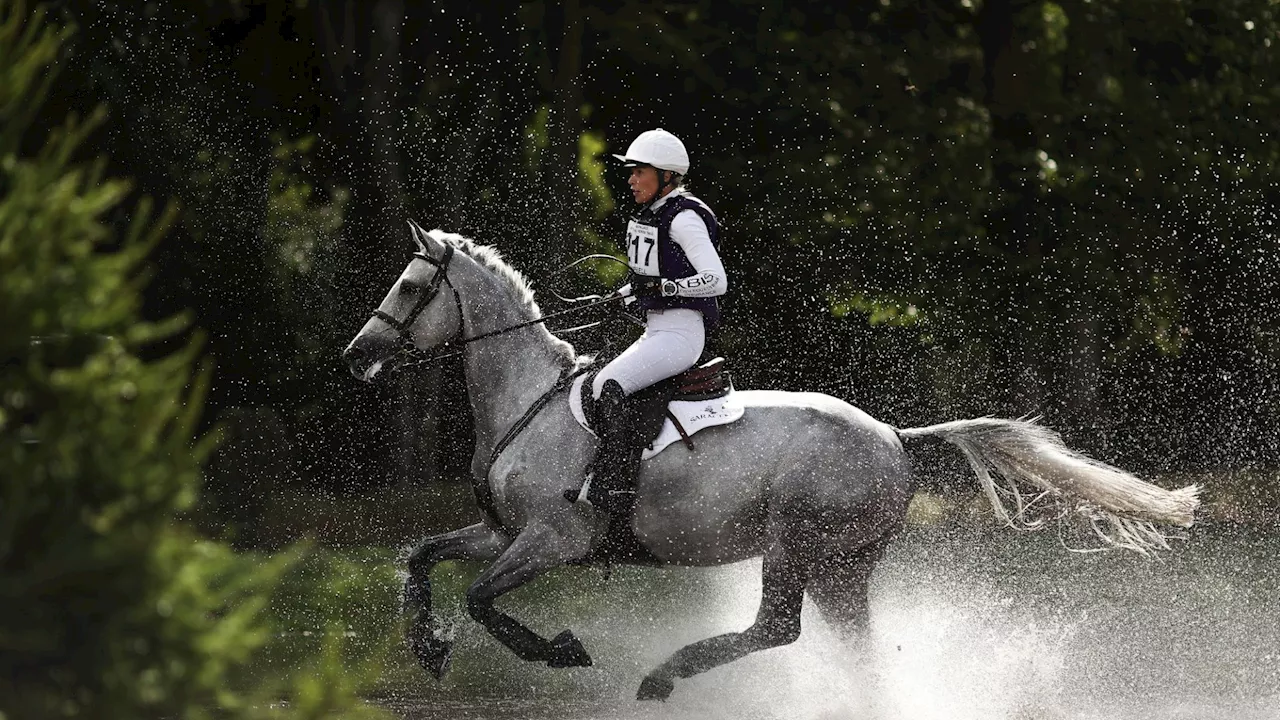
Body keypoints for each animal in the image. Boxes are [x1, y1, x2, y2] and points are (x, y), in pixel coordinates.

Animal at [340, 221, 1198, 696]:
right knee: (845, 645)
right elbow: (423, 558)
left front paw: (558, 650)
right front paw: (428, 650)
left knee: (777, 628)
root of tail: (894, 436)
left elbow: (484, 599)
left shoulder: (553, 540)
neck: (529, 399)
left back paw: (663, 676)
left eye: (411, 286)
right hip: (846, 564)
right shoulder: (501, 531)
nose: (356, 356)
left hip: (797, 540)